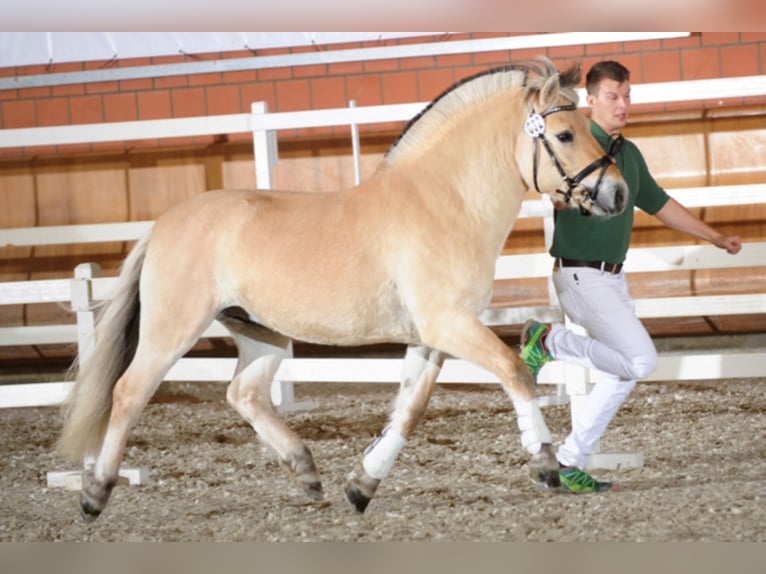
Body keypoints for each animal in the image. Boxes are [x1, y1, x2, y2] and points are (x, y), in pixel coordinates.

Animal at [57, 58, 628, 520]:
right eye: (565, 135)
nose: (618, 193)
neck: (446, 202)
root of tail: (161, 226)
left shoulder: (431, 337)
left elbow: (409, 411)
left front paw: (362, 485)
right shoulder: (450, 324)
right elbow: (514, 371)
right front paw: (544, 461)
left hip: (261, 333)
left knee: (245, 394)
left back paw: (308, 473)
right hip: (171, 329)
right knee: (129, 393)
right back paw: (94, 493)